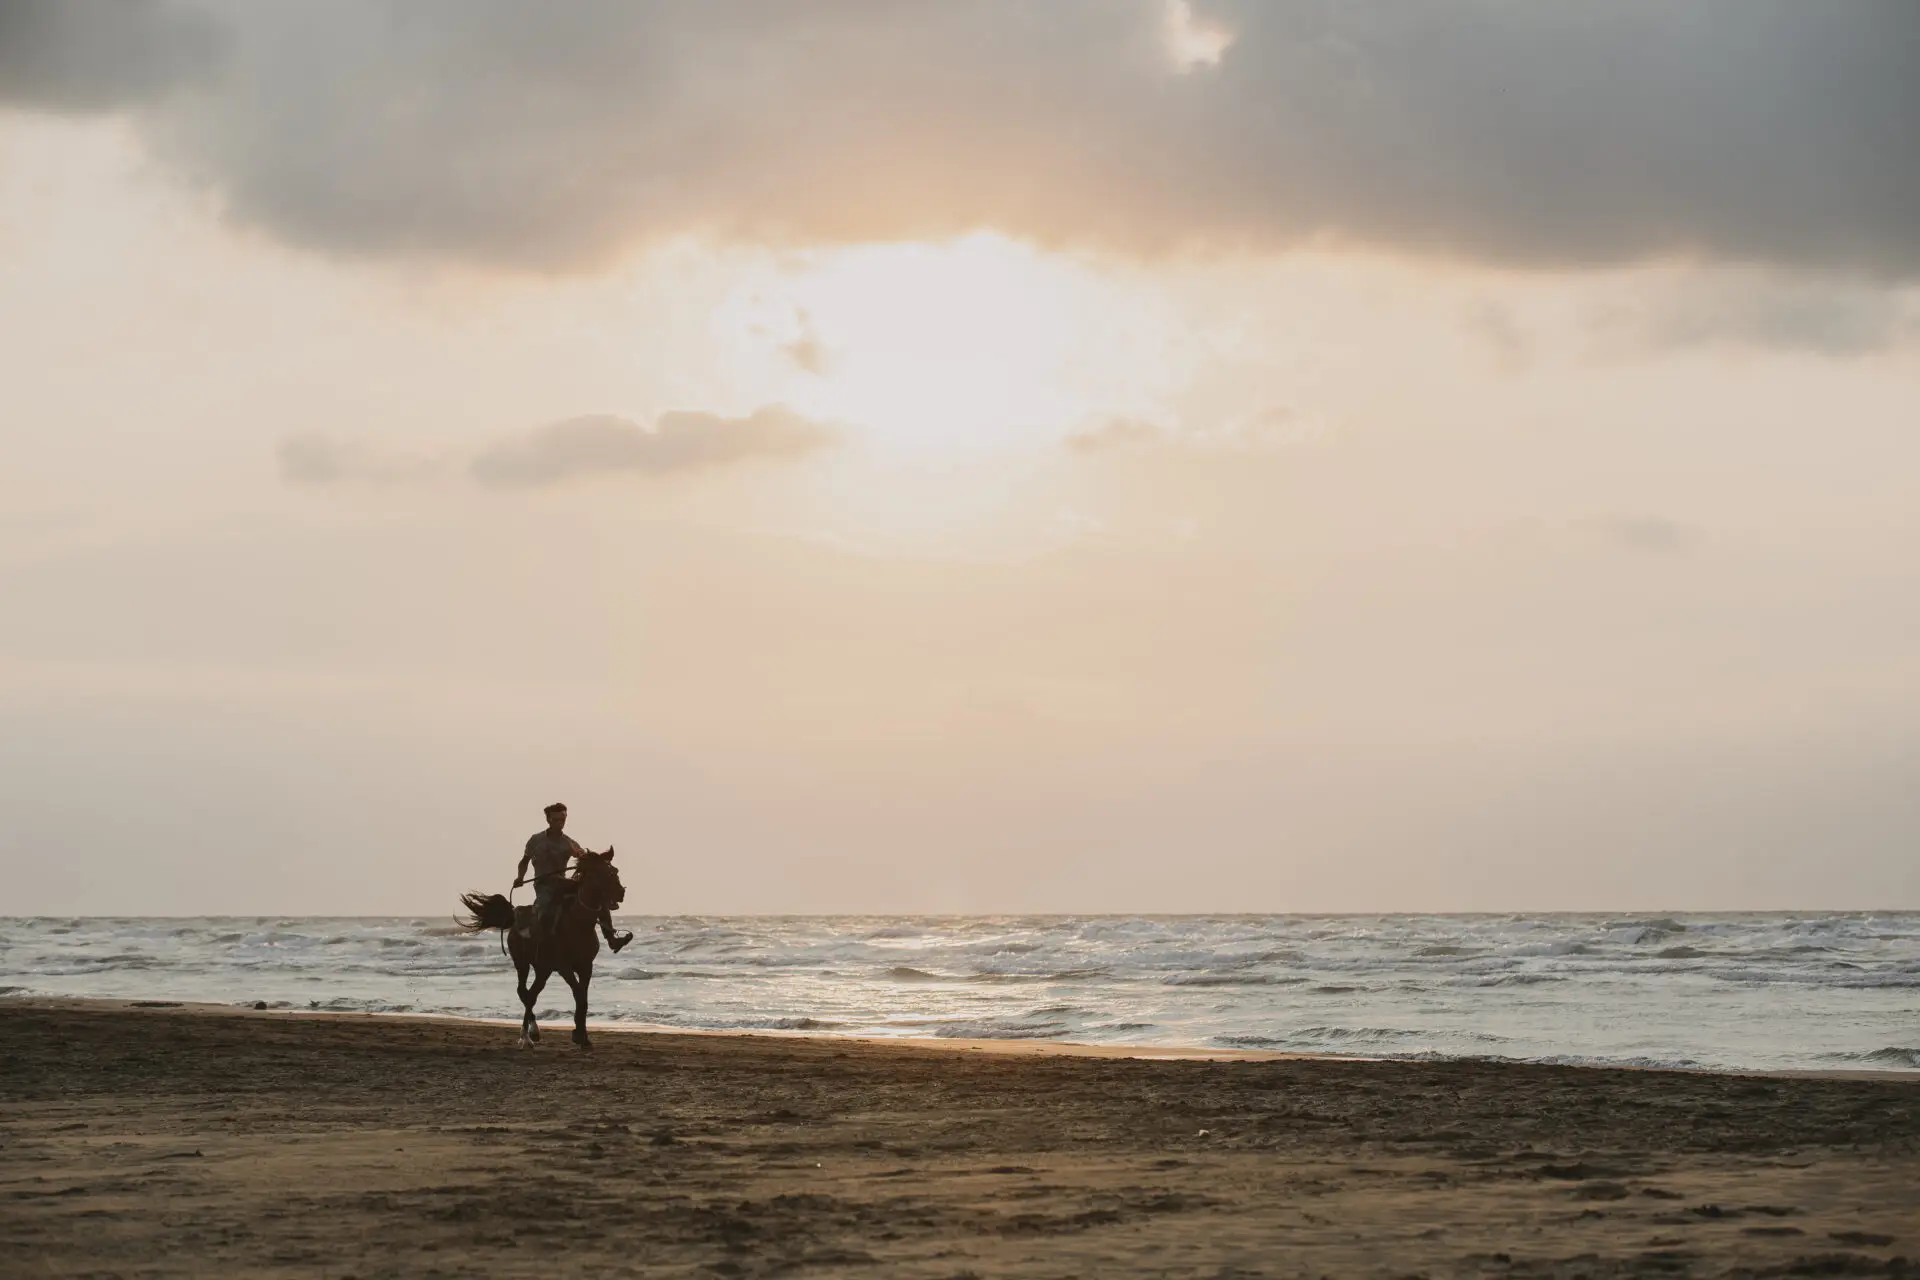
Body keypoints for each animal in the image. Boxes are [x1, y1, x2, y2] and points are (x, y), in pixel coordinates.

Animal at [455, 852, 622, 1051]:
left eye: (614, 870)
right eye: (602, 873)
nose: (621, 892)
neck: (578, 922)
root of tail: (514, 916)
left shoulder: (585, 966)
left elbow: (583, 998)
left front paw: (583, 1037)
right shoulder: (564, 967)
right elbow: (579, 995)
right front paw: (579, 1035)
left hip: (543, 969)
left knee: (531, 993)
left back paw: (532, 1032)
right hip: (523, 963)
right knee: (524, 992)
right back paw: (527, 1037)